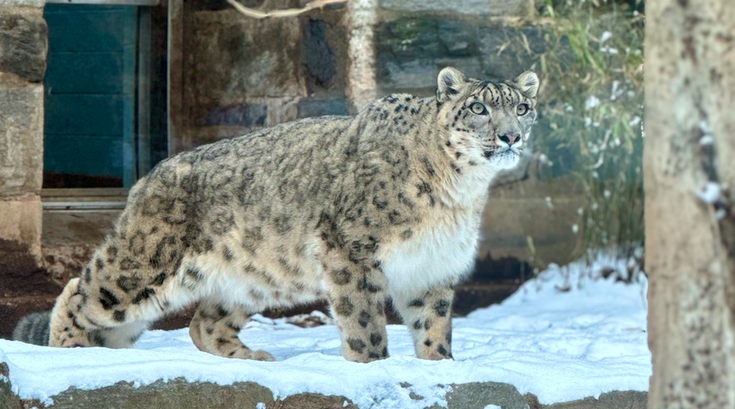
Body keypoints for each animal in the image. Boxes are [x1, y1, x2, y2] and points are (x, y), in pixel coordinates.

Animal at [13, 67, 539, 363]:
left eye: (523, 107)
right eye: (478, 107)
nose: (511, 136)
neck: (459, 193)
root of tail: (148, 177)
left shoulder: (432, 267)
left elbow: (434, 329)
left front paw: (439, 369)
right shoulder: (352, 252)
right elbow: (364, 325)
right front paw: (372, 367)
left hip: (250, 279)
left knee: (203, 324)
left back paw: (256, 359)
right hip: (143, 265)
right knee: (80, 292)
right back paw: (72, 359)